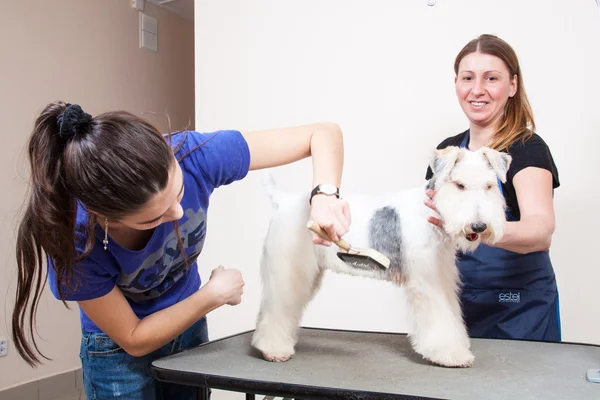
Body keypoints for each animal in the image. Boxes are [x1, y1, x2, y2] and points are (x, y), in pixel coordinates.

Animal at [252, 146, 510, 368]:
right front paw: (450, 354)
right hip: (288, 271)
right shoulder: (427, 282)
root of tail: (283, 201)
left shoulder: (443, 277)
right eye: (459, 185)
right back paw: (273, 348)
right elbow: (439, 319)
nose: (479, 226)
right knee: (275, 309)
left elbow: (451, 315)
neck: (430, 213)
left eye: (489, 186)